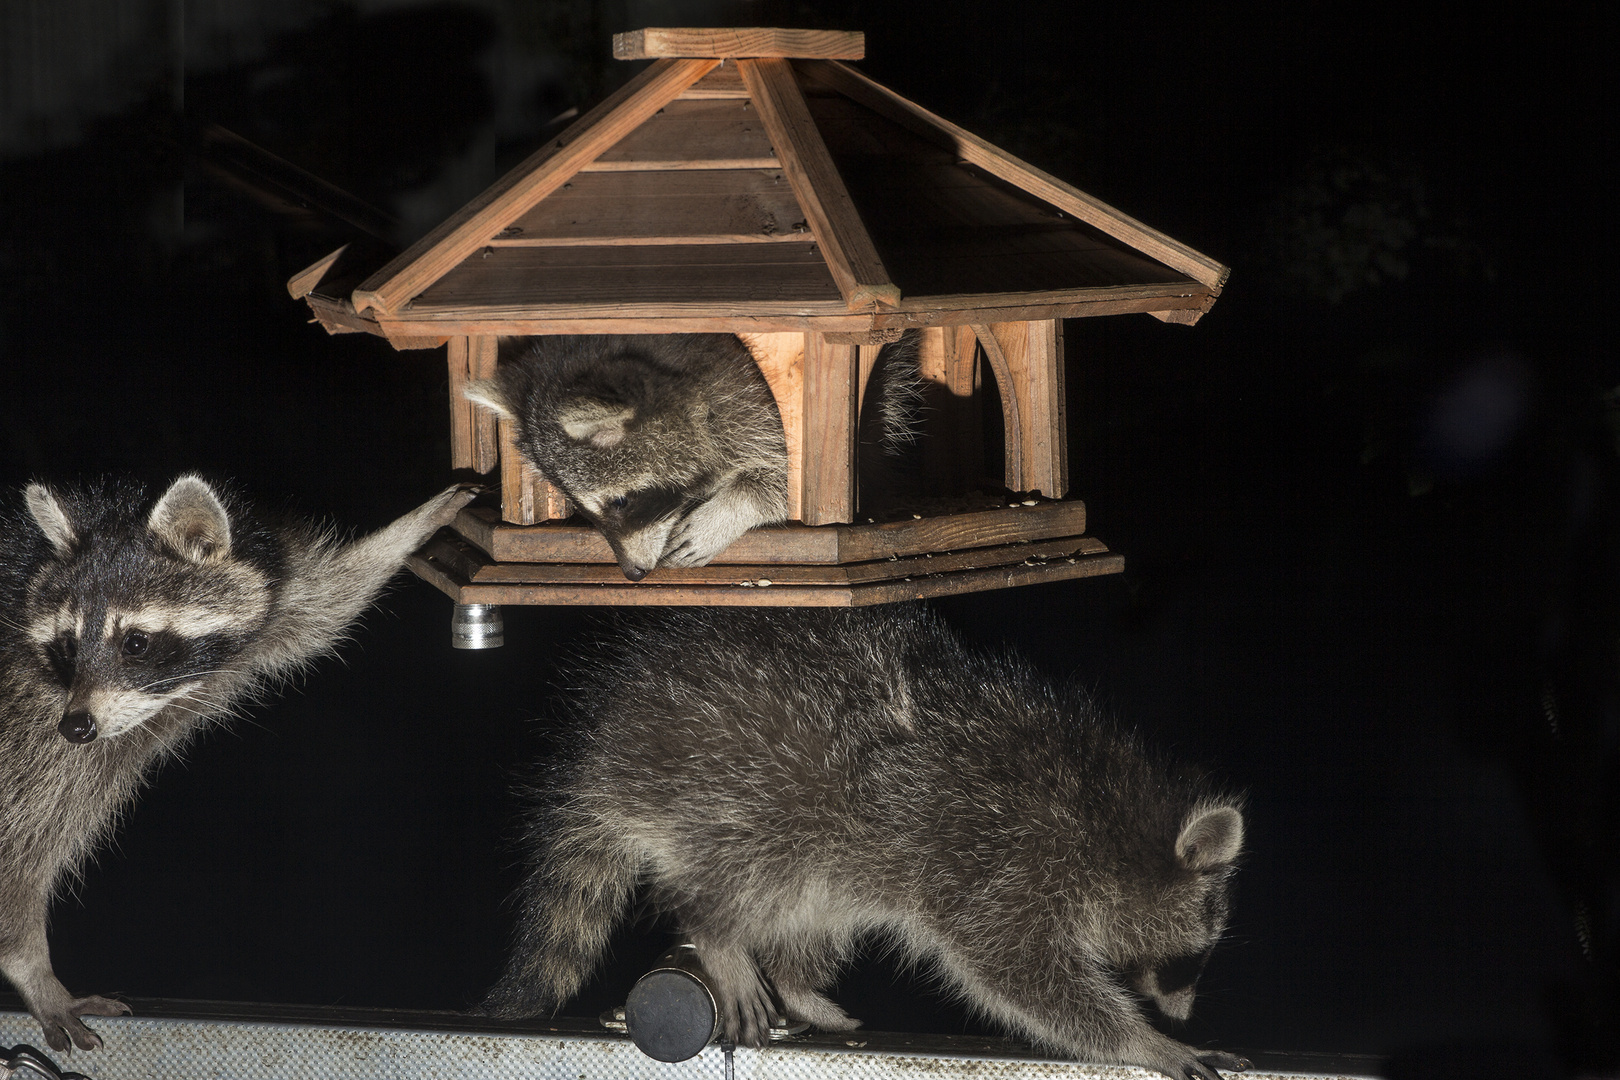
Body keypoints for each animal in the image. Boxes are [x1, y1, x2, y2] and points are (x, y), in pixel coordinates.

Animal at [0, 476, 476, 1049]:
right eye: (68, 645)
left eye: (135, 642)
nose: (76, 728)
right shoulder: (34, 746)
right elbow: (19, 855)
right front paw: (33, 972)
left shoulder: (266, 604)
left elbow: (328, 604)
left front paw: (414, 527)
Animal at [466, 333, 926, 582]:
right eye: (581, 511)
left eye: (621, 502)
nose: (632, 574)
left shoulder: (751, 411)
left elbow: (791, 482)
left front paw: (738, 503)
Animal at [486, 608, 1244, 1080]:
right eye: (1193, 957)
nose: (1185, 1010)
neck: (1107, 817)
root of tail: (609, 755)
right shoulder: (1003, 859)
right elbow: (1021, 974)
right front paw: (1143, 1039)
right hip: (745, 787)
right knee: (737, 875)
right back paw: (720, 934)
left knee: (819, 911)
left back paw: (796, 981)